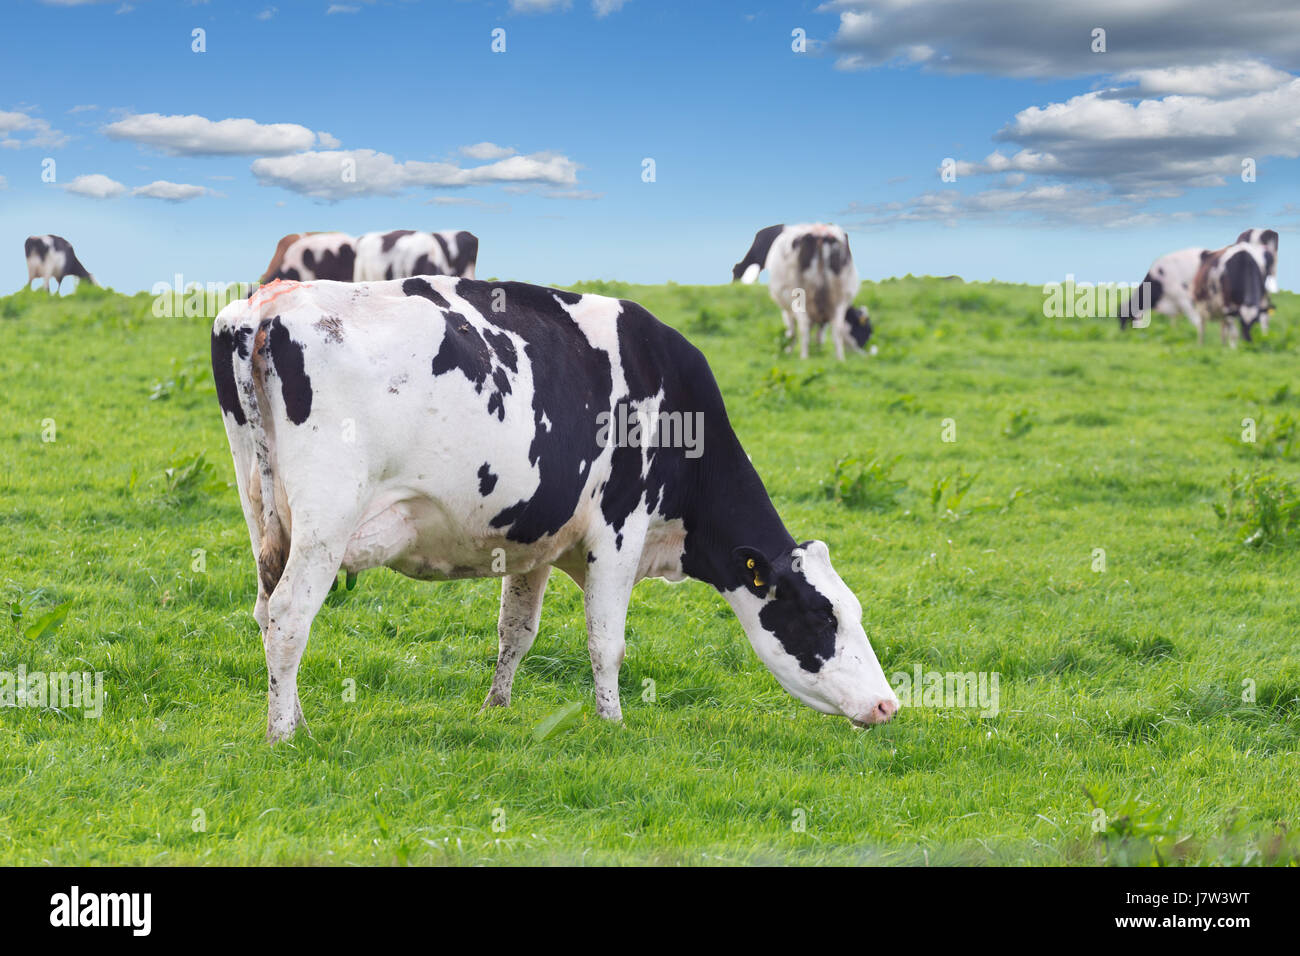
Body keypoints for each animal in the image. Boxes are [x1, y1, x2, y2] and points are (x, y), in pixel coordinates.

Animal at [212, 276, 899, 742]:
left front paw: (496, 708)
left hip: (264, 512)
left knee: (265, 612)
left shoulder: (533, 537)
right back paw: (283, 735)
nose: (888, 704)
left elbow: (516, 632)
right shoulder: (620, 530)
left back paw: (296, 716)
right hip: (326, 524)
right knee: (291, 614)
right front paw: (613, 722)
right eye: (821, 616)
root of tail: (266, 306)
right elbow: (607, 641)